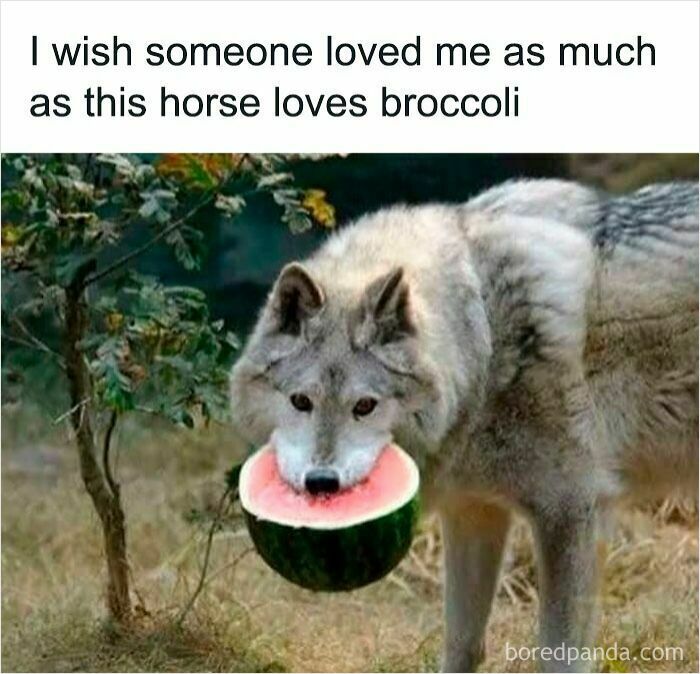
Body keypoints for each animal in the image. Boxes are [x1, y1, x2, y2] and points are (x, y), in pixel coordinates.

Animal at [230, 179, 698, 672]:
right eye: (301, 402)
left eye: (365, 406)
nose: (322, 483)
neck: (484, 337)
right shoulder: (472, 511)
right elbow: (462, 644)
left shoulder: (574, 511)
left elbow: (559, 654)